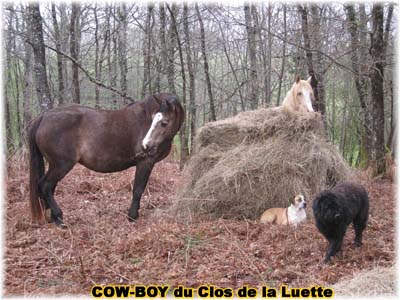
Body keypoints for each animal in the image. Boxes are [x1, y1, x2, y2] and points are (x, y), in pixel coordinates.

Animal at [28, 92, 184, 226]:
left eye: (164, 122)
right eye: (153, 121)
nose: (145, 145)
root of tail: (44, 116)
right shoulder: (145, 162)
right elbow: (138, 190)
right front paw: (132, 216)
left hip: (55, 165)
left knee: (50, 187)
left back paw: (53, 218)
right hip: (61, 165)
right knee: (45, 185)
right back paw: (59, 218)